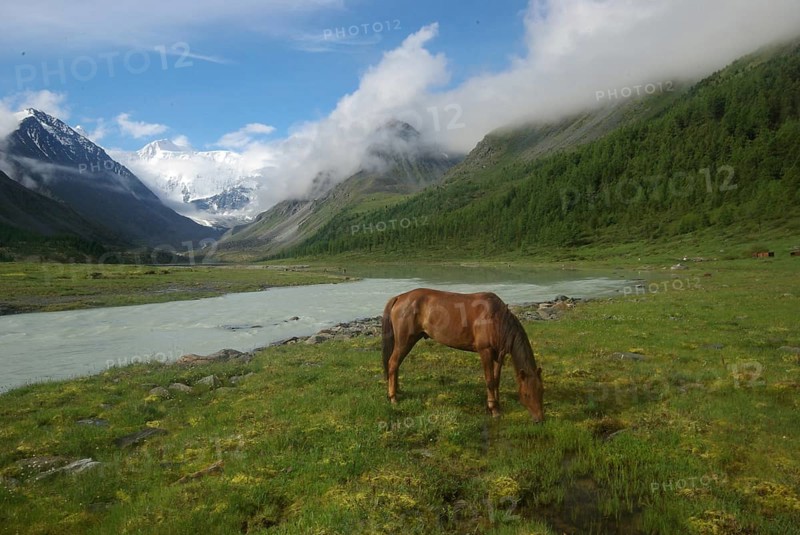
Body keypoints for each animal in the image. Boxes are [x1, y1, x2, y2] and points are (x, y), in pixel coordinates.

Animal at [381, 288, 544, 423]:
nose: (539, 419)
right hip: (404, 341)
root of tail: (399, 297)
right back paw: (393, 397)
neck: (496, 318)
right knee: (393, 363)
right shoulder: (485, 351)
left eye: (541, 390)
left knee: (396, 364)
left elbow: (496, 380)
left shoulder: (499, 354)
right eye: (527, 395)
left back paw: (398, 390)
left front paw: (498, 406)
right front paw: (493, 409)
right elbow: (490, 381)